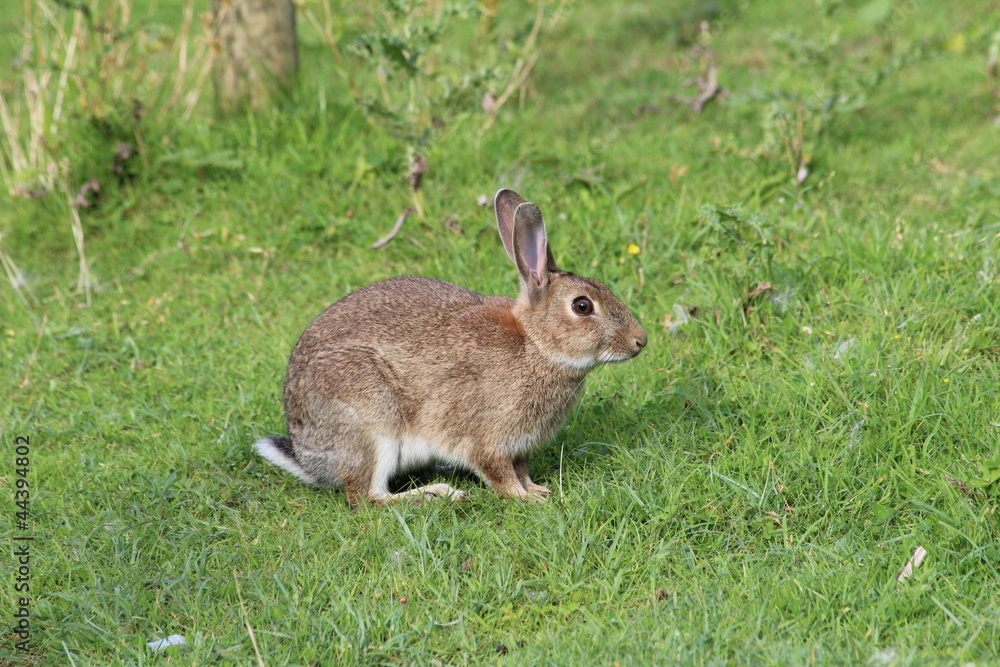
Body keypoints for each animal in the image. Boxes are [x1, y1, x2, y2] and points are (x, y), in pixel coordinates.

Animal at [254, 189, 647, 508]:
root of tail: (308, 457)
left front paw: (536, 489)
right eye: (582, 306)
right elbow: (498, 473)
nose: (640, 341)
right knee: (367, 498)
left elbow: (521, 469)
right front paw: (526, 498)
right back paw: (438, 495)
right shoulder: (486, 436)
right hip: (369, 419)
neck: (536, 343)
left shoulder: (518, 446)